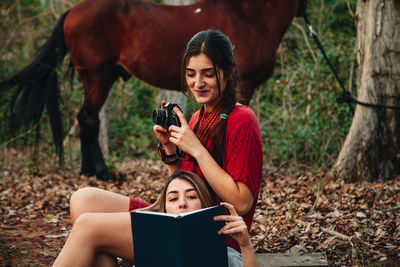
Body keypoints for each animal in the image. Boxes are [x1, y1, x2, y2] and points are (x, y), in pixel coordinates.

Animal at [1, 0, 306, 180]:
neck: (250, 15)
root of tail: (73, 10)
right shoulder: (242, 85)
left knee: (84, 117)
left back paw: (89, 171)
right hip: (97, 76)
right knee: (89, 118)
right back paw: (102, 173)